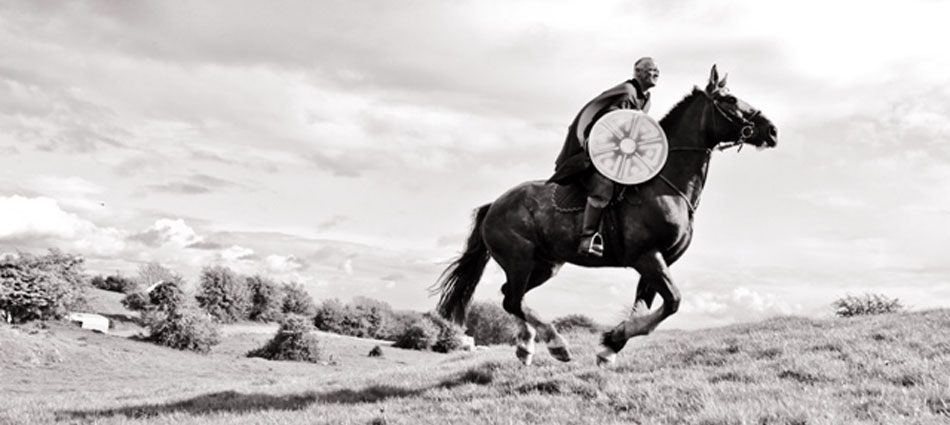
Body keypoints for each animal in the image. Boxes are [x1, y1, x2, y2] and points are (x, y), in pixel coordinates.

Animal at [436, 65, 776, 364]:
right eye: (729, 100)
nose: (772, 130)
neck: (666, 184)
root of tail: (493, 205)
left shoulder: (658, 261)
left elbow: (647, 306)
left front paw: (611, 345)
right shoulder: (647, 257)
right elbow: (673, 302)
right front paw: (611, 340)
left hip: (545, 265)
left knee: (512, 298)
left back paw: (526, 346)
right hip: (520, 258)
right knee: (512, 299)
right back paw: (556, 343)